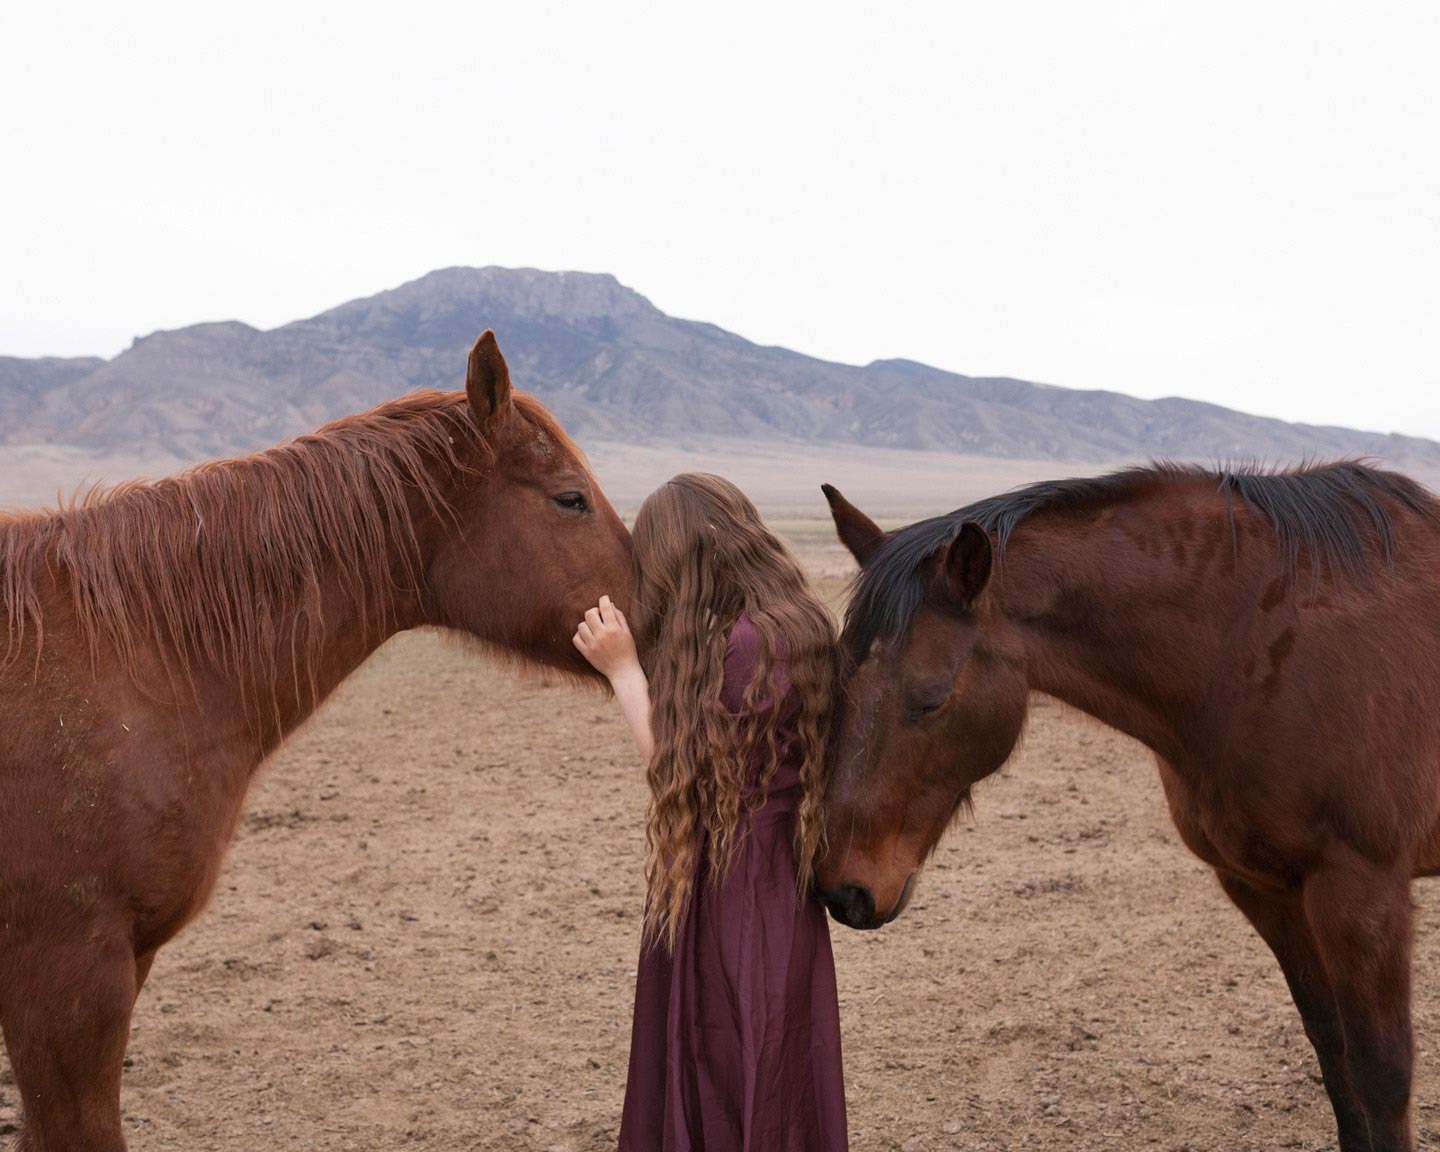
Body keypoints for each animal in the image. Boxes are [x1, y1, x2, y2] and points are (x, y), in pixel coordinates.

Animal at [817, 460, 1440, 1152]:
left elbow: (1382, 1074)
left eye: (931, 698)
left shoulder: (1361, 894)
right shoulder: (1264, 888)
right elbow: (1332, 1052)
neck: (1252, 649)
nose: (844, 890)